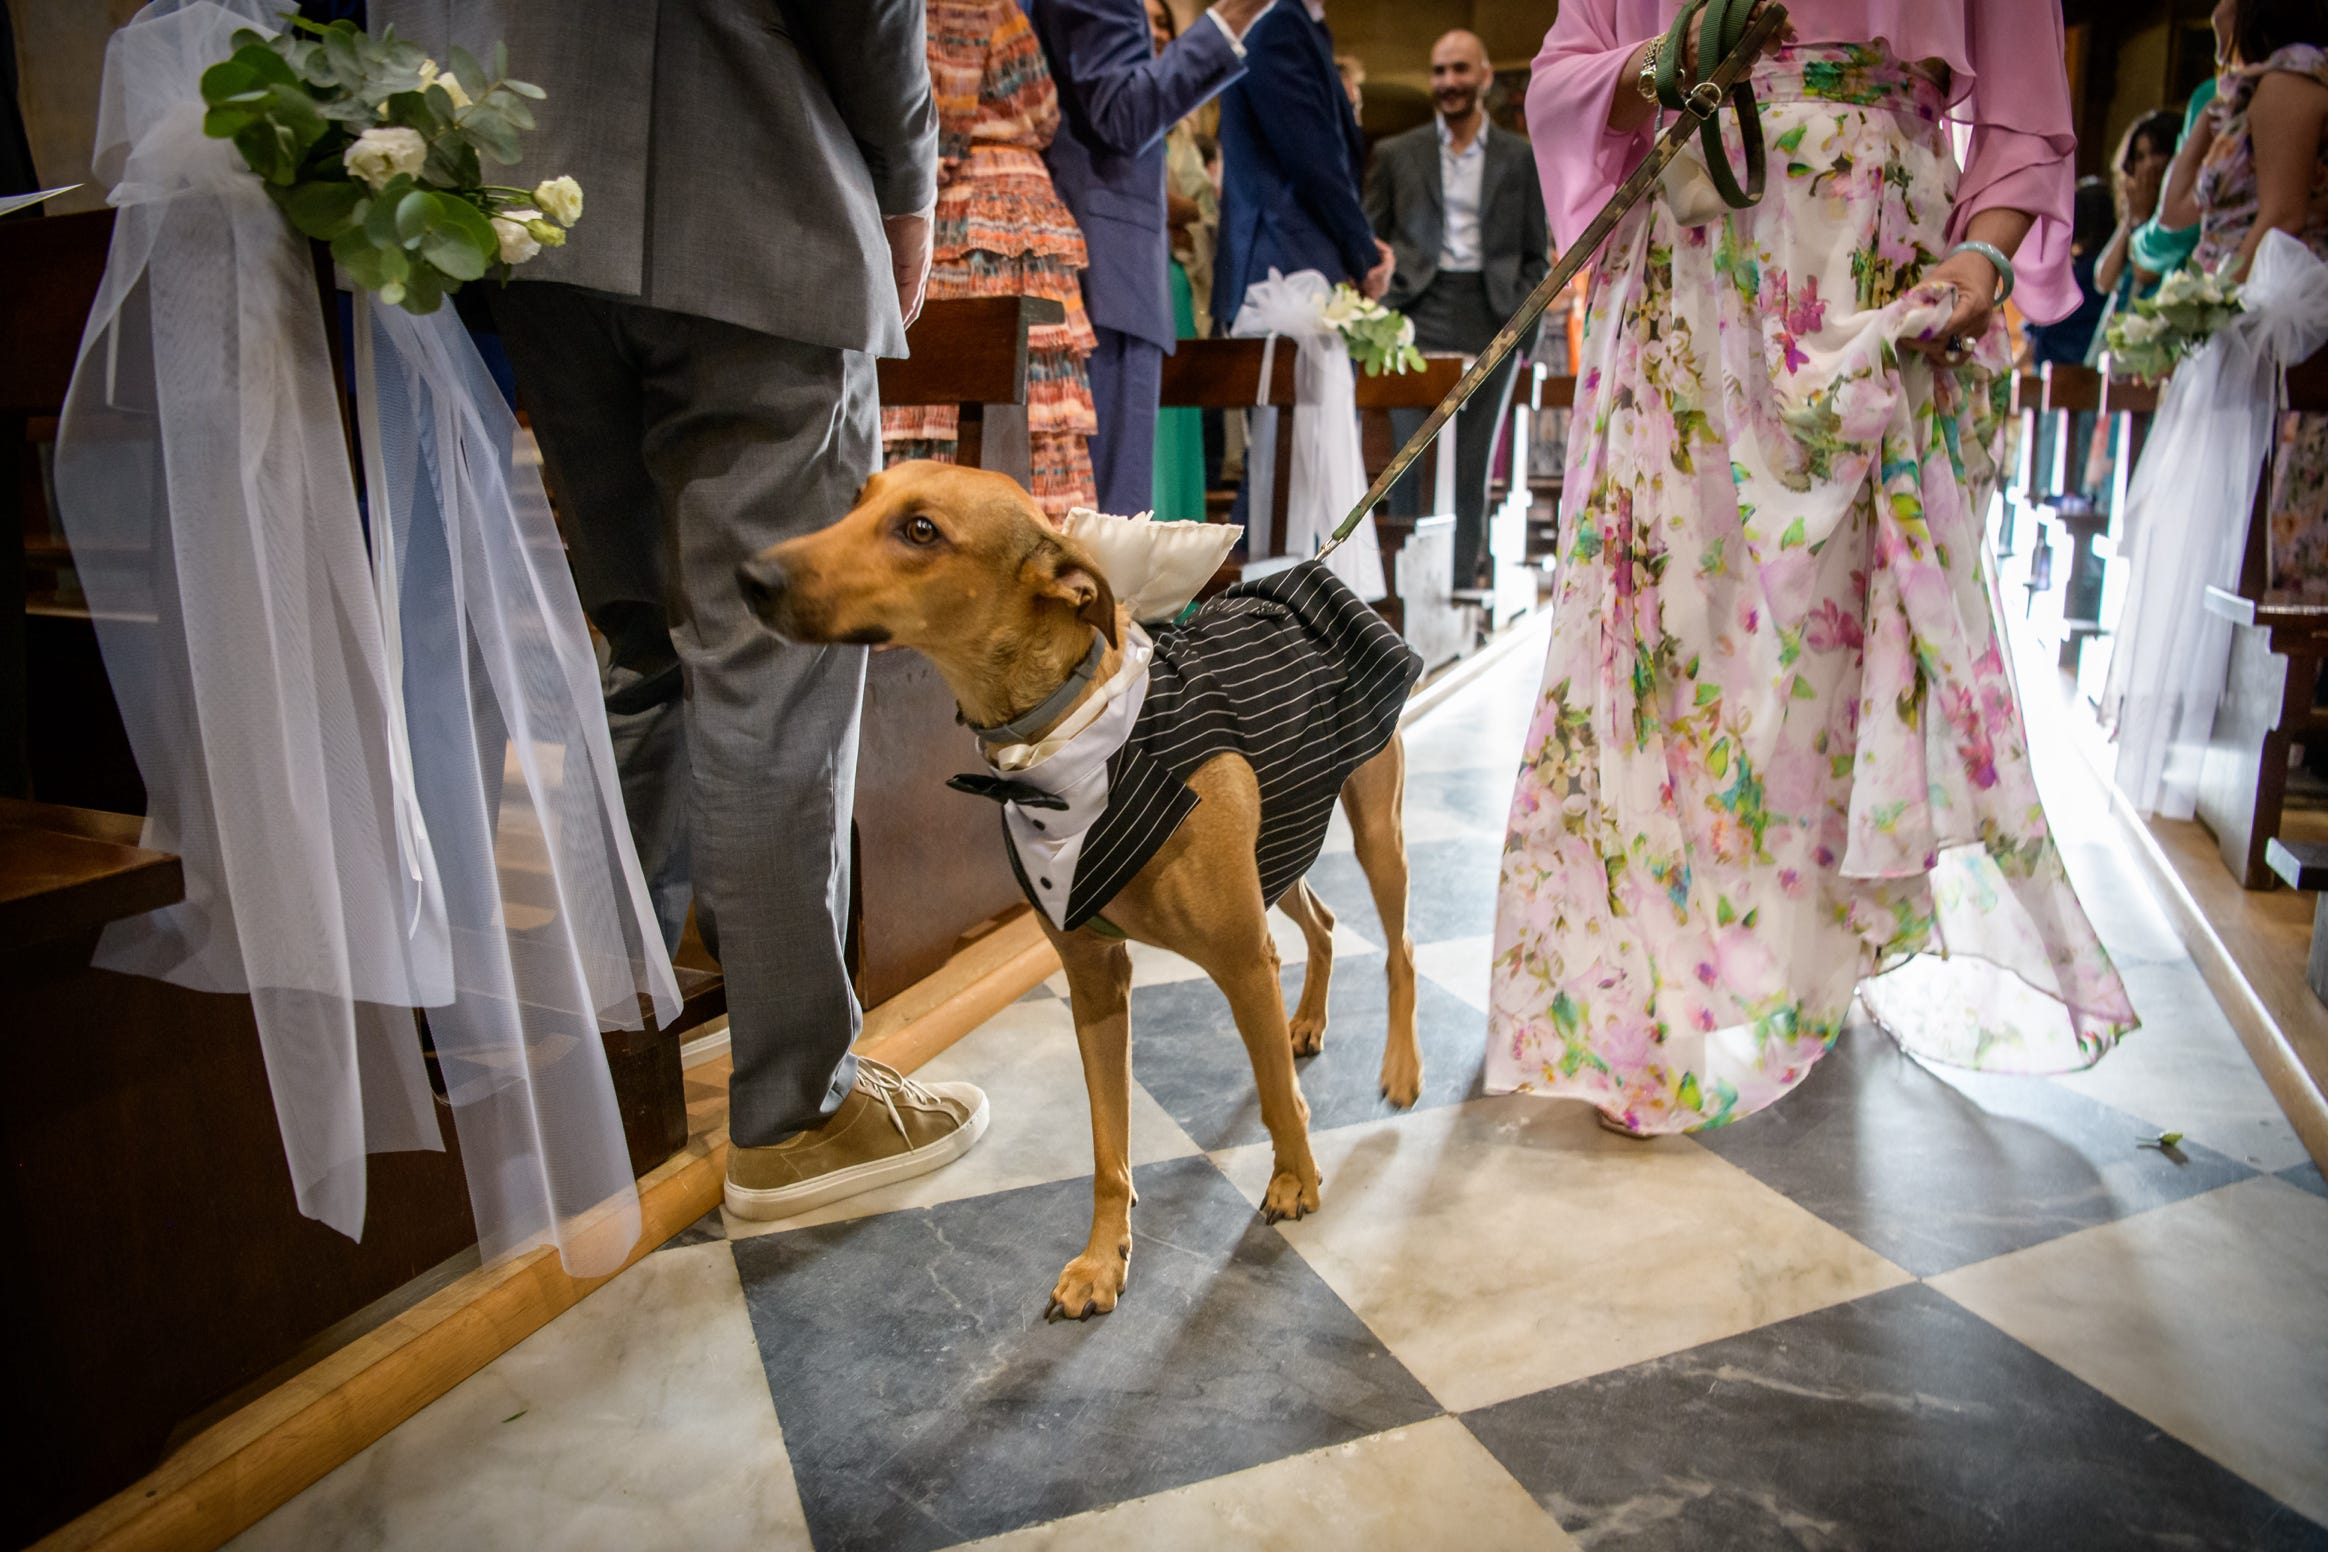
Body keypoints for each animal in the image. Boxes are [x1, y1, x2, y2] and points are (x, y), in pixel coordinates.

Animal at [744, 465, 1415, 1321]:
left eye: (921, 530)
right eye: (857, 499)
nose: (750, 576)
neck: (1065, 746)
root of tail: (1307, 572)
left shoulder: (1238, 959)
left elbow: (1271, 1096)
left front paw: (1295, 1176)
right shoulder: (1096, 982)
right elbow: (1107, 1144)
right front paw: (1103, 1259)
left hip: (1373, 833)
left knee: (1399, 948)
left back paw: (1400, 1067)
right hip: (1280, 848)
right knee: (1324, 925)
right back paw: (1306, 1022)